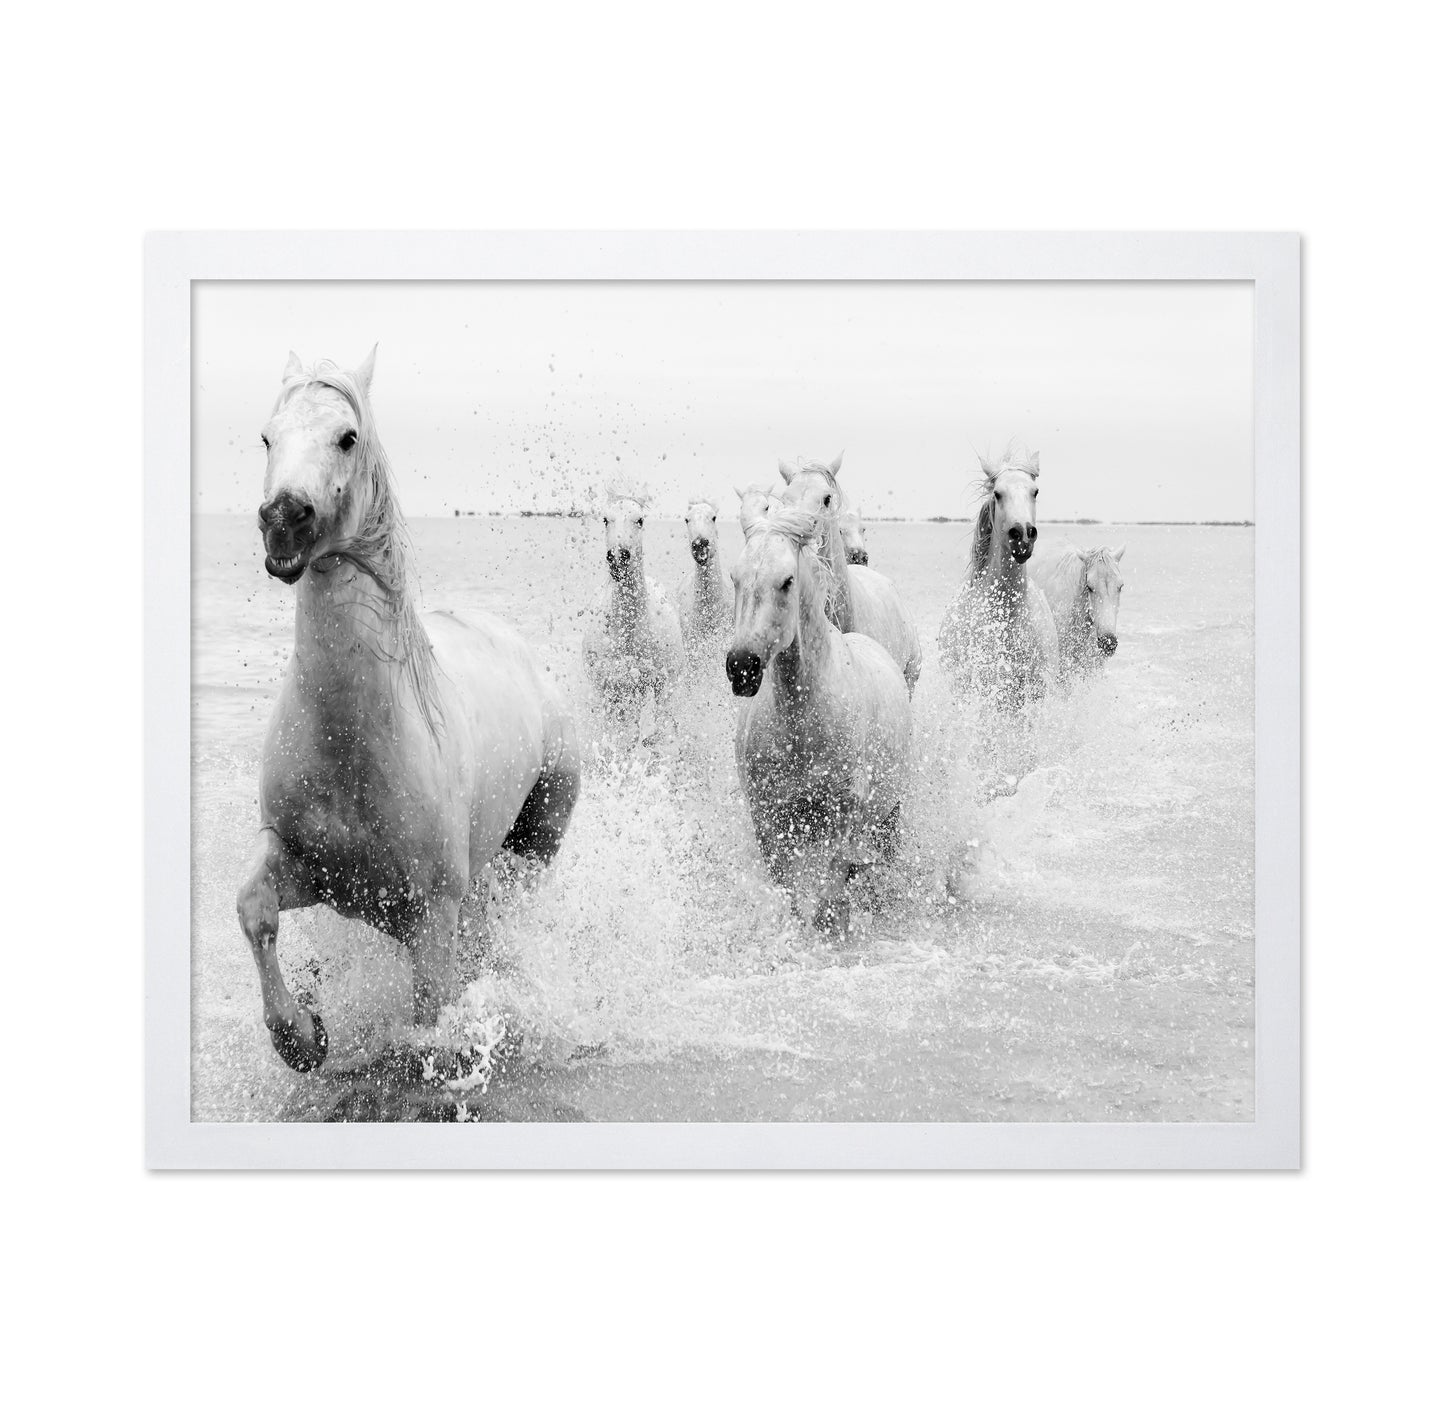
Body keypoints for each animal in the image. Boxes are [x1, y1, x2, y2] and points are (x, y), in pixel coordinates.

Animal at [236, 347, 581, 1073]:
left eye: (347, 437)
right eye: (266, 437)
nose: (283, 519)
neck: (353, 738)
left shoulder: (431, 917)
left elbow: (430, 1019)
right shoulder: (304, 863)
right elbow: (254, 909)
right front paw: (302, 1034)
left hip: (534, 846)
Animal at [726, 505, 912, 937]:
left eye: (787, 580)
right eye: (735, 577)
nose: (741, 667)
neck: (802, 727)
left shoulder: (843, 815)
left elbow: (832, 888)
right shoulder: (769, 820)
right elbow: (792, 895)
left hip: (890, 812)